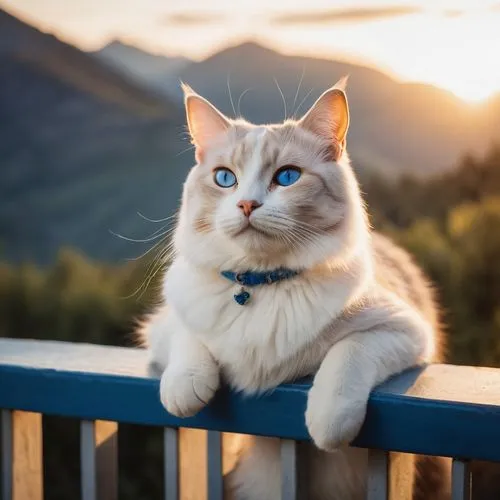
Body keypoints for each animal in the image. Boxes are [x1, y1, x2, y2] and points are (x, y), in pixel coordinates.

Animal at [139, 80, 452, 498]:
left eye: (287, 177)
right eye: (225, 178)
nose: (246, 204)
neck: (261, 286)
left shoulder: (405, 329)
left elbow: (347, 354)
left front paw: (327, 420)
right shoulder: (163, 324)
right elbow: (189, 342)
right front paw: (184, 389)